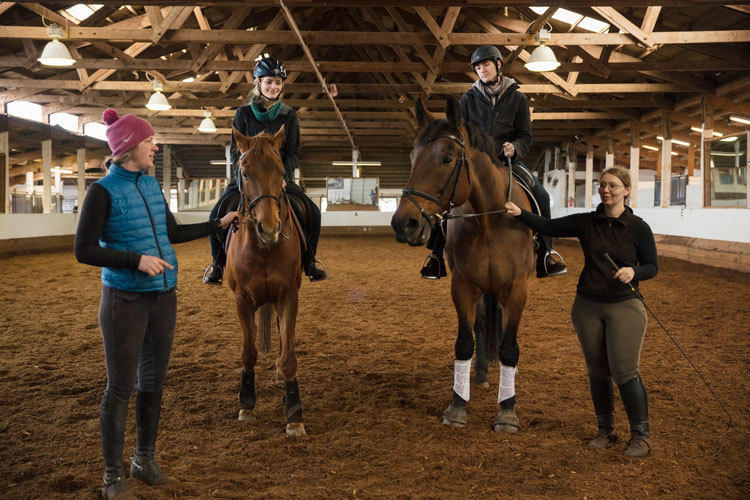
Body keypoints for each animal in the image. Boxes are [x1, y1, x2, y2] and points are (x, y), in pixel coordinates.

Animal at [225, 127, 306, 436]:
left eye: (281, 171)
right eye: (245, 173)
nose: (269, 229)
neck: (264, 248)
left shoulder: (289, 296)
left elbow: (289, 356)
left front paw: (294, 414)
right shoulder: (242, 300)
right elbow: (248, 353)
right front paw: (246, 404)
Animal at [390, 95, 536, 432]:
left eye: (446, 159)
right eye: (413, 157)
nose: (403, 224)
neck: (490, 221)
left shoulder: (517, 287)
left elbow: (509, 346)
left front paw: (507, 410)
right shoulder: (464, 286)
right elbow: (465, 342)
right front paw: (457, 405)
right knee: (482, 325)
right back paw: (481, 372)